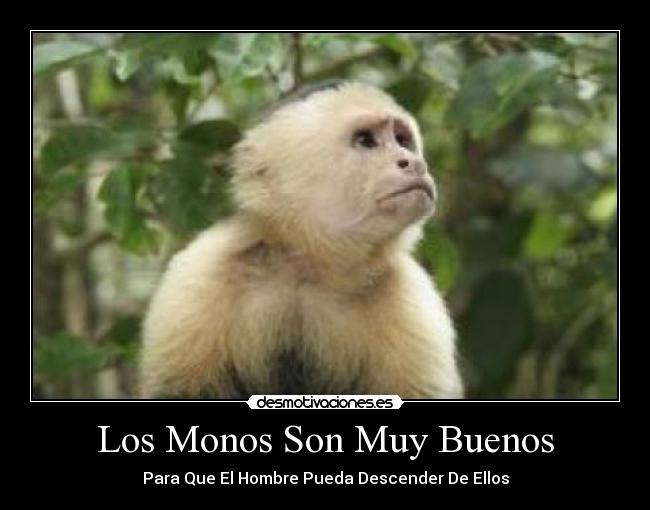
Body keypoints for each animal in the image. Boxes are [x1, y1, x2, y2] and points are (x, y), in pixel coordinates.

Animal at [139, 80, 463, 399]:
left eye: (402, 140)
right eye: (365, 140)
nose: (414, 163)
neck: (309, 265)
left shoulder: (413, 301)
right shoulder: (198, 277)